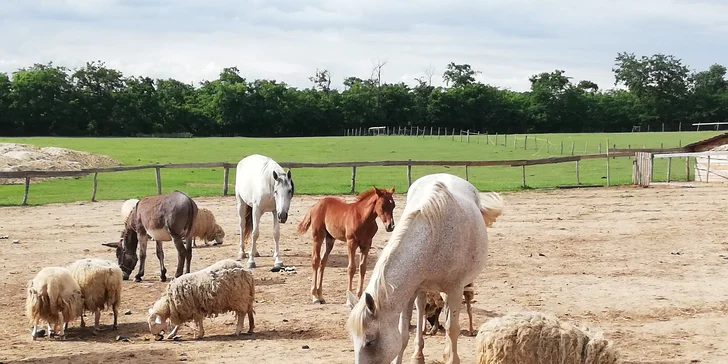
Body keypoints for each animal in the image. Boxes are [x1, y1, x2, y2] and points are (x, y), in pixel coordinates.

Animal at [348, 173, 506, 364]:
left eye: (370, 341)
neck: (433, 238)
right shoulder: (410, 292)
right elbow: (403, 334)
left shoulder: (455, 289)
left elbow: (452, 329)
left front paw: (452, 358)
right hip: (422, 290)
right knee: (423, 309)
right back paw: (418, 355)